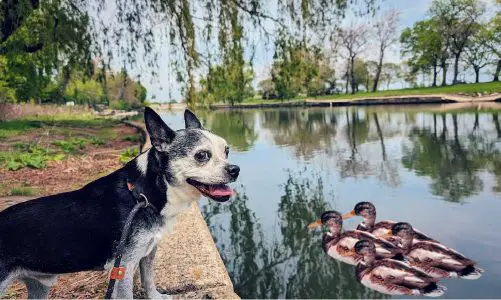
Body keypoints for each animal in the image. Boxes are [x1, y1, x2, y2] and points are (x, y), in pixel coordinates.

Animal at [0, 108, 240, 298]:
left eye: (227, 151)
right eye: (202, 156)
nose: (235, 169)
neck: (142, 194)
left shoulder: (148, 252)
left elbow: (148, 279)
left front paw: (156, 297)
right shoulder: (124, 265)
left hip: (39, 287)